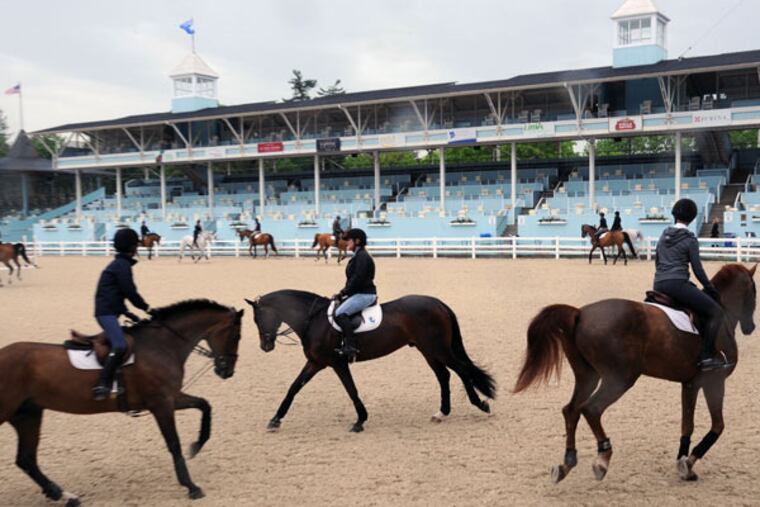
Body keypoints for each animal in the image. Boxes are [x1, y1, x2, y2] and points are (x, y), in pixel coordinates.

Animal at [0, 299, 244, 504]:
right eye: (236, 337)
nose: (227, 371)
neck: (162, 345)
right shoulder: (161, 403)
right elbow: (174, 443)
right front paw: (191, 486)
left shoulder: (171, 398)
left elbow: (204, 405)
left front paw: (196, 446)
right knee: (26, 459)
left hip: (28, 414)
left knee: (26, 459)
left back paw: (62, 495)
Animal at [245, 290, 495, 433]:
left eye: (258, 318)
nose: (265, 346)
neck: (314, 320)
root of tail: (438, 303)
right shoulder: (316, 363)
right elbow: (294, 387)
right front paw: (275, 419)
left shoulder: (337, 363)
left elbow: (351, 389)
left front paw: (360, 421)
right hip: (427, 350)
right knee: (444, 375)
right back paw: (441, 413)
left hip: (438, 349)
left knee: (461, 370)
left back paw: (480, 404)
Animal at [513, 263, 757, 484]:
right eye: (754, 291)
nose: (751, 327)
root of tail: (580, 313)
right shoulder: (713, 381)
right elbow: (718, 426)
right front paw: (688, 462)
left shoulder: (690, 384)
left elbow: (687, 424)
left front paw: (683, 464)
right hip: (620, 379)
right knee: (591, 409)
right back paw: (602, 459)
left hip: (588, 376)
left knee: (571, 410)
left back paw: (567, 463)